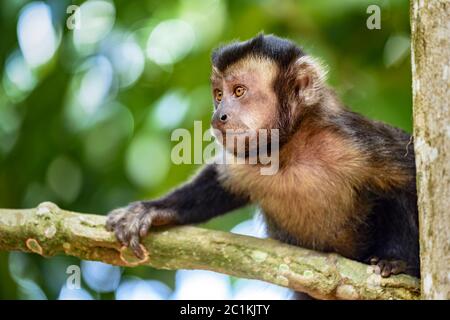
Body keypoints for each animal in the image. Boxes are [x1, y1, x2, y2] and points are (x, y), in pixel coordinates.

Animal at [104, 33, 418, 292]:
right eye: (219, 95)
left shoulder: (352, 142)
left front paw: (399, 261)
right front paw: (153, 210)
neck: (289, 149)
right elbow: (220, 183)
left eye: (239, 91)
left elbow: (412, 176)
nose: (218, 116)